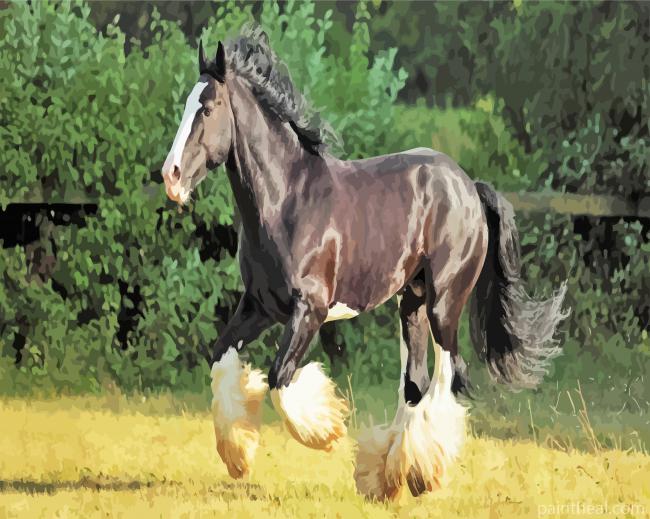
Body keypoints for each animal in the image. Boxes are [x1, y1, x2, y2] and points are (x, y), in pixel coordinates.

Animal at [161, 27, 567, 499]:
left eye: (207, 108)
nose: (170, 177)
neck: (286, 202)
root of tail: (468, 185)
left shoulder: (310, 310)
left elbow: (280, 378)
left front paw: (327, 431)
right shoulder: (259, 307)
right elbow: (221, 359)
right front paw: (238, 456)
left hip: (444, 305)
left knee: (446, 377)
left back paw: (423, 474)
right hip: (411, 304)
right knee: (415, 385)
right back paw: (389, 476)